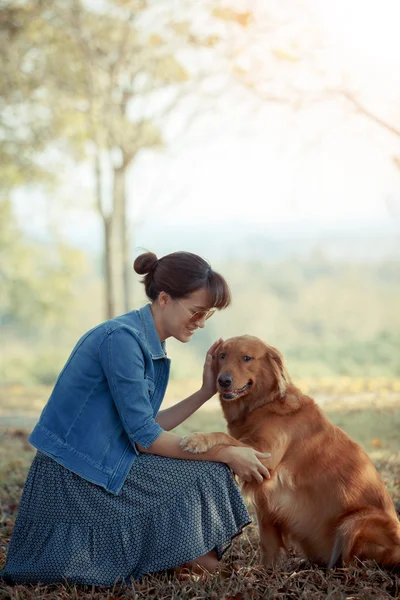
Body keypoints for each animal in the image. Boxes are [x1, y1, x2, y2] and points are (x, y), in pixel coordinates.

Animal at [180, 336, 400, 568]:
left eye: (247, 358)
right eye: (222, 355)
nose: (223, 381)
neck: (263, 404)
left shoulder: (262, 455)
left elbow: (224, 436)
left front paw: (198, 439)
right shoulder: (263, 491)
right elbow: (268, 541)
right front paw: (266, 570)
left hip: (354, 522)